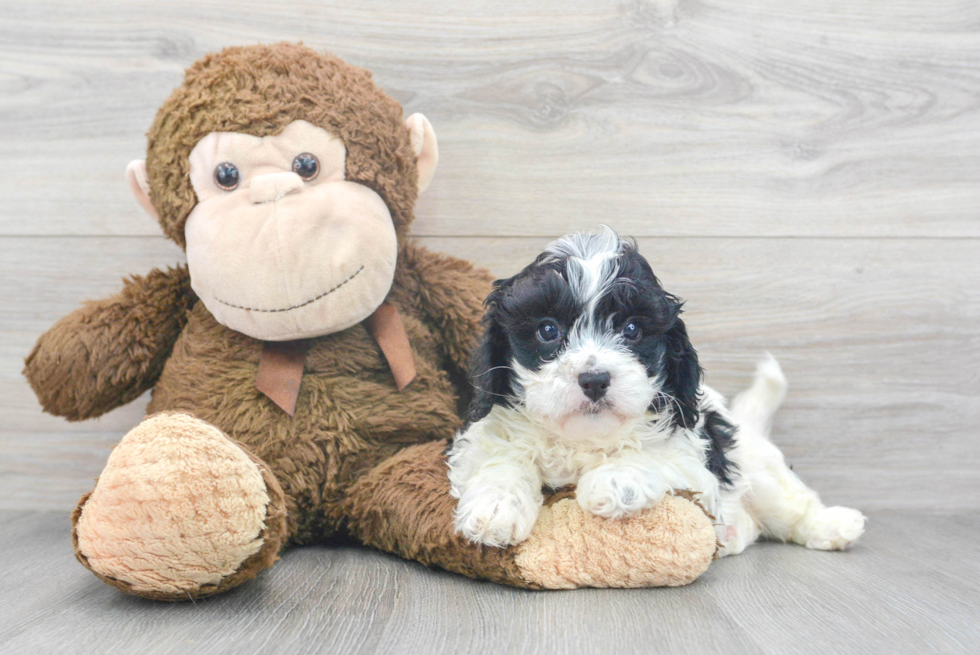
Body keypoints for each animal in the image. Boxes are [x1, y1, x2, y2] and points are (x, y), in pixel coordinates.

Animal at [446, 228, 864, 556]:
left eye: (631, 330)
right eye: (547, 330)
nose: (594, 379)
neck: (582, 442)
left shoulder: (693, 455)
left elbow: (655, 454)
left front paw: (616, 480)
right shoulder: (484, 435)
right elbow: (502, 459)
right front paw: (495, 508)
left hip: (757, 466)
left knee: (790, 507)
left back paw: (835, 525)